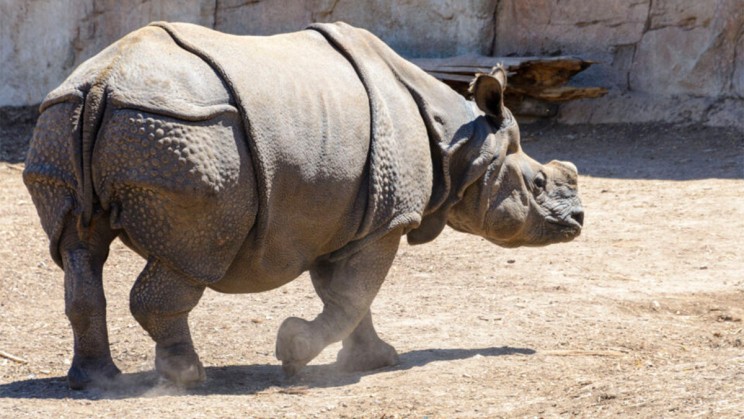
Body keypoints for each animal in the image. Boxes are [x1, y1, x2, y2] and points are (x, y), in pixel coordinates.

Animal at [23, 22, 583, 390]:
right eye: (537, 183)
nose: (578, 221)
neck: (462, 146)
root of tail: (103, 82)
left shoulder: (344, 214)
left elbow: (348, 294)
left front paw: (376, 360)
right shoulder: (387, 218)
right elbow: (354, 294)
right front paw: (294, 354)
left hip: (61, 120)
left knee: (78, 251)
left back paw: (97, 382)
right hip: (185, 134)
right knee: (192, 254)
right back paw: (187, 378)